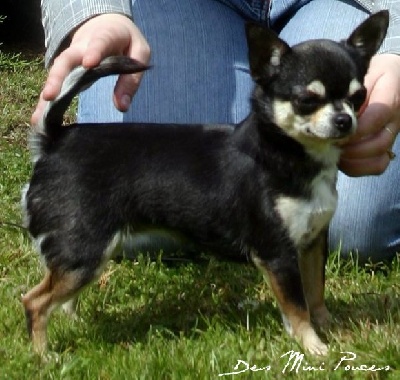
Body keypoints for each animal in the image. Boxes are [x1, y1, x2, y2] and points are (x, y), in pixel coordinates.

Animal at [21, 11, 388, 356]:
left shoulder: (311, 243)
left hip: (88, 255)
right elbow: (297, 307)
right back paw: (44, 357)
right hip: (85, 250)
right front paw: (314, 347)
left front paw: (328, 326)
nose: (344, 120)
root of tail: (54, 139)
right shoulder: (278, 254)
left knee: (59, 297)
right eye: (306, 100)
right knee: (34, 302)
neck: (287, 153)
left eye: (359, 97)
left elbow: (315, 290)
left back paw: (73, 324)